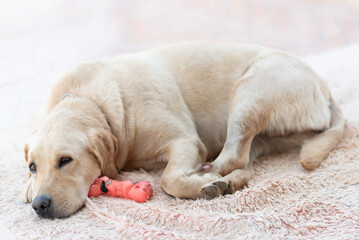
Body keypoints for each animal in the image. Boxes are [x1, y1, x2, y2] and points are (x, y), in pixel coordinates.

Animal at [23, 42, 346, 218]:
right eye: (32, 166)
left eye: (66, 160)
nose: (40, 205)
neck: (92, 102)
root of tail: (324, 87)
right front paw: (28, 189)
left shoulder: (185, 142)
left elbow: (168, 181)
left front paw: (199, 184)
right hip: (261, 132)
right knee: (244, 162)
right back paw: (230, 182)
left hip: (249, 94)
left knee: (232, 157)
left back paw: (213, 177)